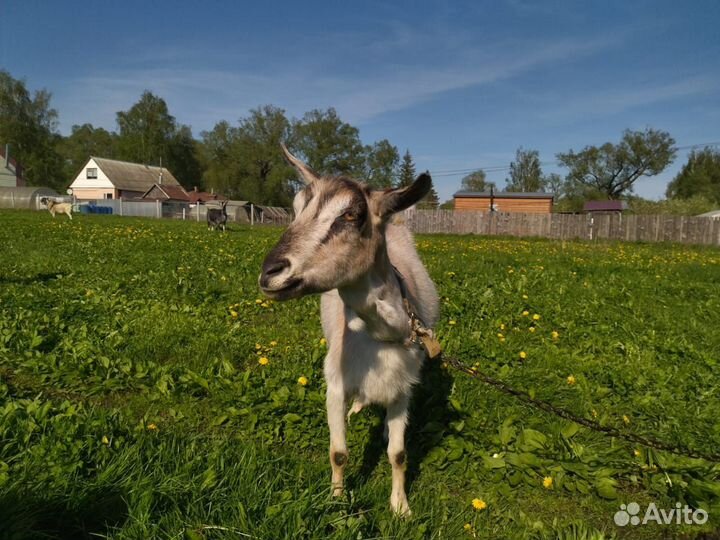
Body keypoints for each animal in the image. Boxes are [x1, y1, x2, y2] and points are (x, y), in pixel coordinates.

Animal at [259, 145, 439, 516]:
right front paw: (337, 500)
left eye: (352, 215)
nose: (269, 273)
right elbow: (339, 452)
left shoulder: (403, 387)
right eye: (296, 208)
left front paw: (401, 507)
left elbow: (398, 454)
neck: (381, 334)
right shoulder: (336, 384)